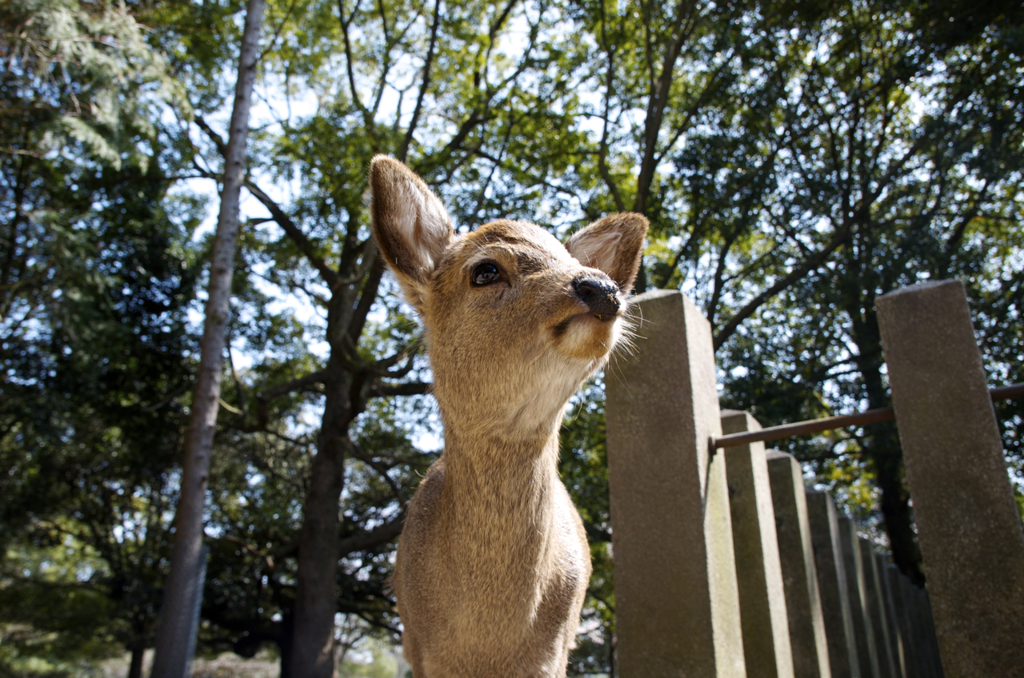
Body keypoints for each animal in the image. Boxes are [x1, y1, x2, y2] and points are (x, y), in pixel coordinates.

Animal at [370, 156, 647, 678]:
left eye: (569, 258)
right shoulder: (418, 649)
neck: (488, 648)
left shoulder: (556, 651)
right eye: (485, 270)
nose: (601, 287)